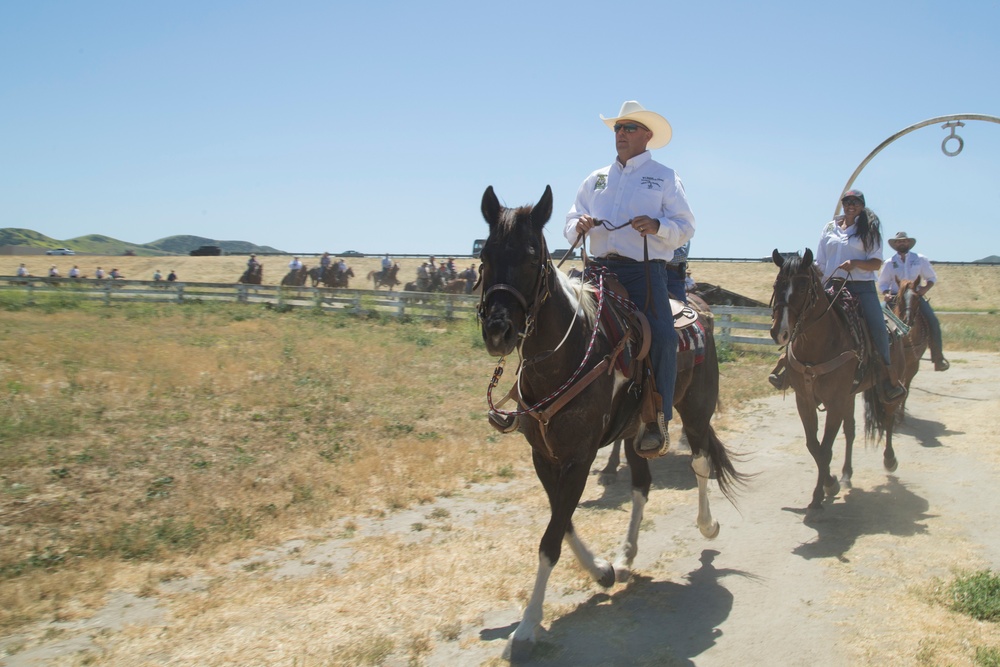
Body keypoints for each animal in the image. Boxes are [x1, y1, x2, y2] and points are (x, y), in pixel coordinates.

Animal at [476, 185, 744, 660]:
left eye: (531, 256)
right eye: (486, 254)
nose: (498, 331)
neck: (566, 354)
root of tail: (700, 307)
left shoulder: (579, 457)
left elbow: (550, 538)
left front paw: (526, 626)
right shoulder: (544, 456)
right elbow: (562, 521)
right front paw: (601, 570)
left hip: (696, 411)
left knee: (700, 462)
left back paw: (707, 525)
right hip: (639, 431)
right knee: (641, 485)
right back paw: (626, 554)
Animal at [768, 250, 912, 512]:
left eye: (802, 287)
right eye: (777, 284)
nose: (778, 332)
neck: (818, 345)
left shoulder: (834, 402)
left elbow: (825, 449)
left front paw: (820, 493)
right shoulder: (804, 400)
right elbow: (814, 446)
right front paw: (831, 482)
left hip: (887, 387)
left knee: (887, 418)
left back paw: (889, 459)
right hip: (850, 395)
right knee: (851, 430)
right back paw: (846, 473)